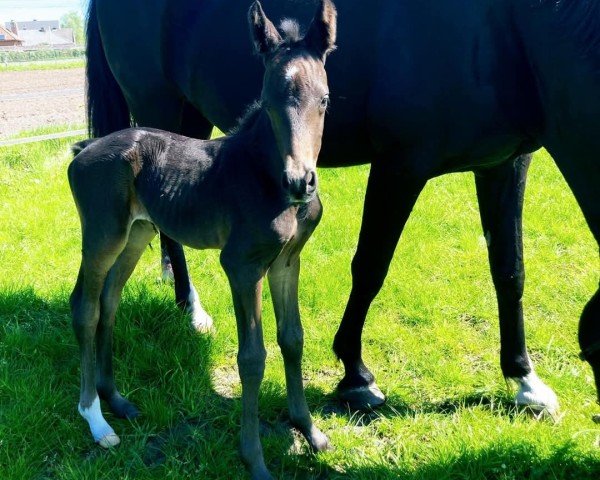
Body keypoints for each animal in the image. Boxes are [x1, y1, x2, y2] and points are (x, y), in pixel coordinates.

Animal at [69, 2, 338, 476]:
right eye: (269, 101)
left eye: (323, 99)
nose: (300, 181)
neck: (263, 173)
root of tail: (84, 149)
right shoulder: (242, 265)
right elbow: (252, 357)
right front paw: (255, 460)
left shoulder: (287, 261)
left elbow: (293, 339)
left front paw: (310, 430)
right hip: (102, 233)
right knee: (85, 306)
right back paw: (96, 420)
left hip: (136, 233)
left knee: (109, 301)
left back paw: (116, 399)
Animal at [86, 0, 596, 412]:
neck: (501, 28)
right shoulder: (400, 165)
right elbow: (370, 267)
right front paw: (356, 375)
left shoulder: (505, 163)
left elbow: (509, 270)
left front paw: (524, 379)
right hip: (157, 105)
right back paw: (191, 309)